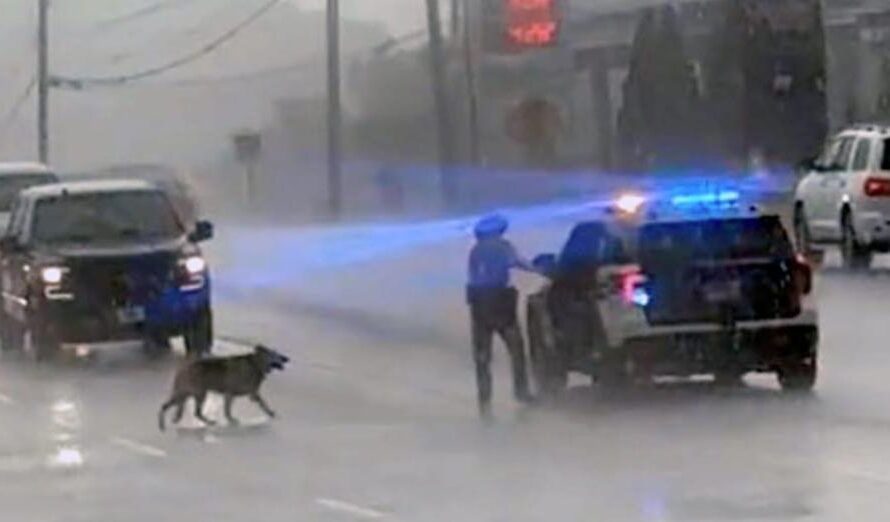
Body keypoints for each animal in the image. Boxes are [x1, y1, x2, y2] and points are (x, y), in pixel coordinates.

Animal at [156, 344, 288, 428]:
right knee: (195, 412)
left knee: (169, 407)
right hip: (198, 394)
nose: (287, 358)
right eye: (275, 354)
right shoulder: (236, 393)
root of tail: (183, 368)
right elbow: (262, 403)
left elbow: (231, 409)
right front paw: (270, 412)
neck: (256, 363)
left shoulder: (242, 394)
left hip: (185, 394)